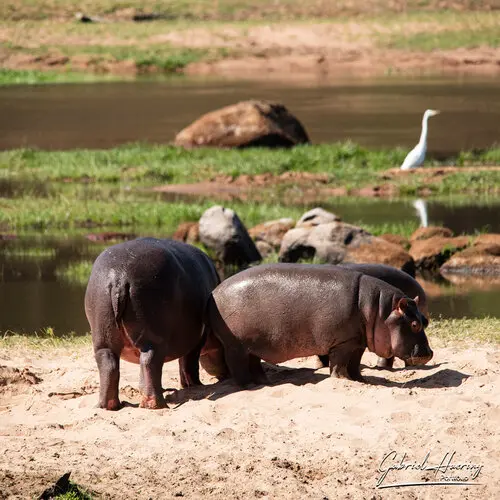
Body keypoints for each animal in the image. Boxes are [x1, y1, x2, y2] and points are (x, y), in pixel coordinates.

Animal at [85, 238, 220, 410]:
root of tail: (118, 277)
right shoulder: (198, 339)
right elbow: (189, 363)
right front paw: (196, 385)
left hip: (103, 336)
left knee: (109, 364)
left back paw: (108, 406)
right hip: (153, 337)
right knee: (150, 362)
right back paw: (156, 405)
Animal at [205, 264, 432, 384]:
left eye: (424, 320)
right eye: (414, 324)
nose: (429, 353)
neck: (378, 310)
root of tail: (214, 292)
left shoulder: (357, 342)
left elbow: (355, 363)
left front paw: (360, 380)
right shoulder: (342, 343)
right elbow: (340, 364)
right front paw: (342, 380)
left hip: (253, 345)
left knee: (253, 362)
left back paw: (263, 382)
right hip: (235, 346)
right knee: (237, 366)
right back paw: (248, 386)